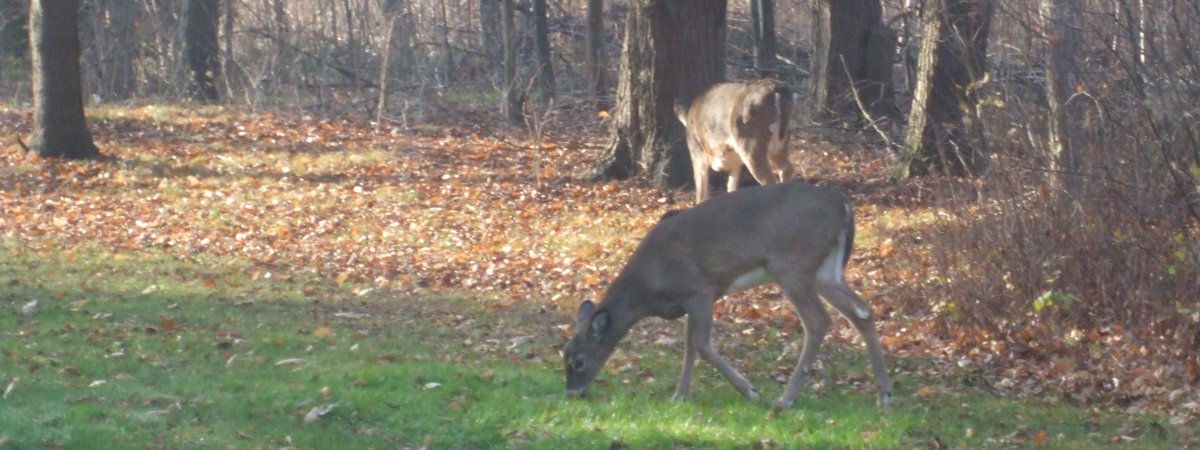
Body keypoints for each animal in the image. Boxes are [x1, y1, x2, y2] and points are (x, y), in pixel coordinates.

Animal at [561, 182, 892, 408]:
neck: (647, 286)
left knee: (818, 321)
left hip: (792, 265)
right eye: (563, 355)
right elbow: (689, 346)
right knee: (863, 312)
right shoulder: (688, 301)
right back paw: (884, 396)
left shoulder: (700, 290)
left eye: (578, 361)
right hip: (825, 271)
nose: (573, 393)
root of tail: (844, 206)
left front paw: (750, 390)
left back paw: (785, 400)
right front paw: (680, 395)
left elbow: (702, 345)